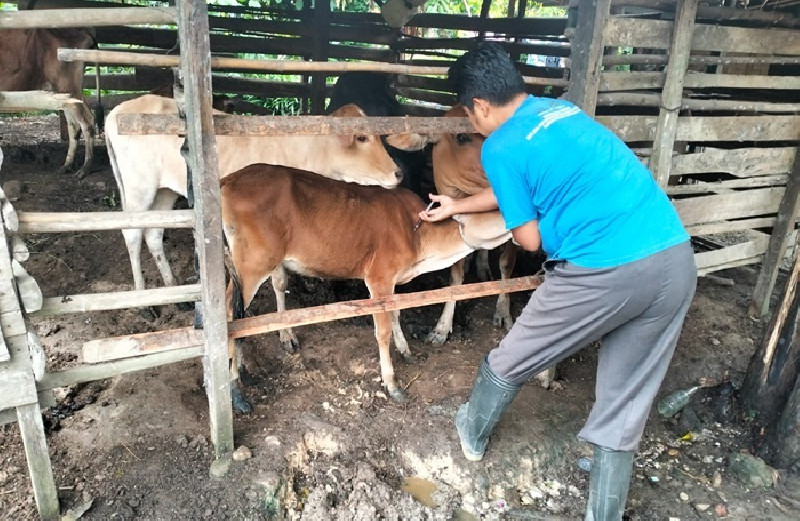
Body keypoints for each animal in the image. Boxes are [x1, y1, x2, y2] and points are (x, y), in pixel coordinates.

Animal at [0, 29, 95, 179]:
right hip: (64, 92)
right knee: (73, 124)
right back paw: (66, 165)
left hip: (69, 86)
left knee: (87, 120)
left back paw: (85, 168)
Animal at [222, 162, 510, 410]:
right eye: (493, 209)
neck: (418, 237)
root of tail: (229, 180)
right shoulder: (379, 278)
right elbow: (382, 331)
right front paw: (392, 383)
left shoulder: (390, 283)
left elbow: (396, 314)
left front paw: (405, 350)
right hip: (253, 263)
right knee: (231, 315)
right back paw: (236, 390)